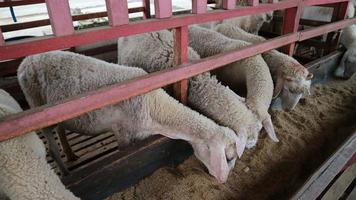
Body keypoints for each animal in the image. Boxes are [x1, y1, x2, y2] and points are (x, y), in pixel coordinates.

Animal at [17, 50, 245, 183]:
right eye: (228, 157)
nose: (223, 181)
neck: (154, 107)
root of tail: (26, 61)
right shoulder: (123, 131)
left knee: (61, 130)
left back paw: (71, 154)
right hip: (35, 104)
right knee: (50, 142)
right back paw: (65, 170)